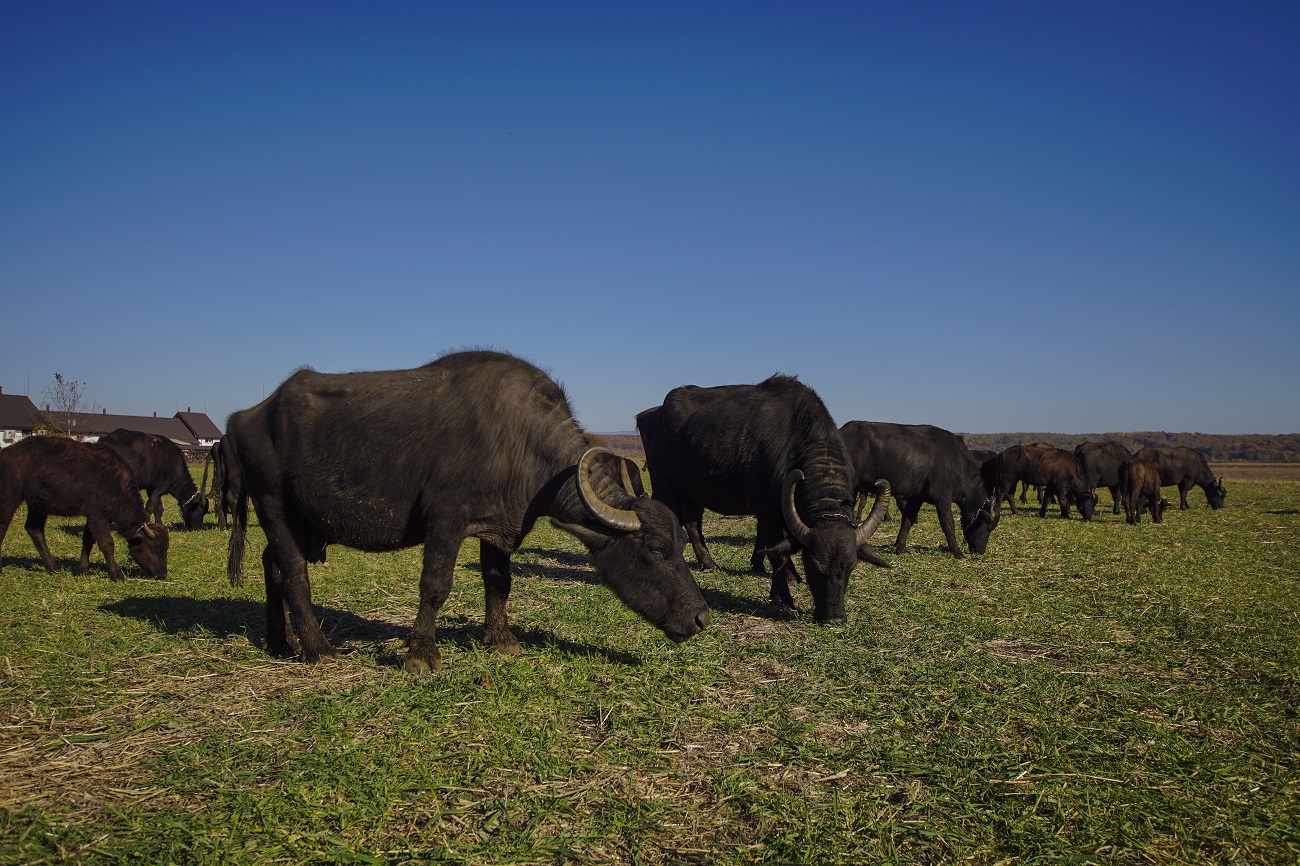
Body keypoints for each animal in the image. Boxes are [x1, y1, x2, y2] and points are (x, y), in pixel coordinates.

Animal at [0, 434, 170, 577]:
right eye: (157, 549)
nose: (162, 574)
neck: (113, 481)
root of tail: (6, 452)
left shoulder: (96, 516)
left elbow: (88, 540)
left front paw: (82, 569)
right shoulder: (97, 515)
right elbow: (107, 543)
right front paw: (116, 574)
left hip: (38, 505)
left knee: (34, 530)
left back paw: (53, 567)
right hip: (10, 497)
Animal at [634, 371, 889, 621]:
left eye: (851, 567)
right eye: (814, 565)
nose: (834, 617)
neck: (794, 442)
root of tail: (651, 414)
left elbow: (775, 544)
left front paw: (779, 574)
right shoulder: (768, 511)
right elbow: (777, 554)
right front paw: (783, 595)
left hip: (693, 491)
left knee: (693, 523)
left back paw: (709, 563)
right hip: (666, 487)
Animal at [837, 421, 998, 556]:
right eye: (989, 526)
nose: (980, 551)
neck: (956, 465)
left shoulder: (917, 497)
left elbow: (908, 519)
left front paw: (899, 546)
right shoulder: (942, 497)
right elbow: (948, 523)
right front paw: (957, 552)